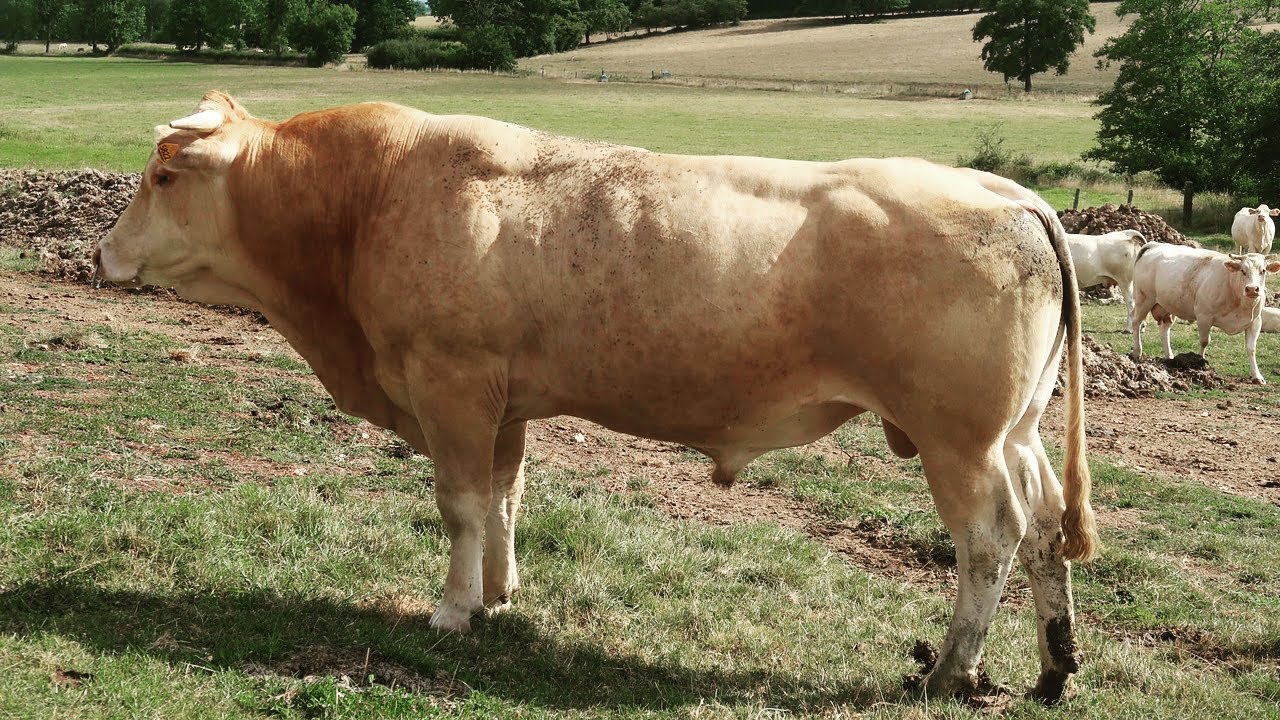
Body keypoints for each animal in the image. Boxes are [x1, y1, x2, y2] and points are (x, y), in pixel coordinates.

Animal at [95, 92, 1098, 704]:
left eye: (163, 177)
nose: (99, 253)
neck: (368, 198)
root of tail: (1005, 189)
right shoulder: (503, 400)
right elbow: (504, 496)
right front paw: (499, 595)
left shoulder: (451, 382)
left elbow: (461, 504)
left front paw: (452, 610)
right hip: (1016, 433)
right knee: (1048, 528)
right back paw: (1053, 668)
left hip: (960, 441)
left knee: (991, 539)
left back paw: (952, 670)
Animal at [1131, 242, 1280, 383]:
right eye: (1243, 270)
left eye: (1263, 271)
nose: (1252, 289)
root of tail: (1155, 245)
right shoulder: (1204, 316)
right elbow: (1204, 341)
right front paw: (1200, 365)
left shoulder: (1255, 322)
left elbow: (1251, 348)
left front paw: (1257, 376)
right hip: (1144, 299)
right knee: (1136, 322)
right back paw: (1137, 352)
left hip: (1167, 305)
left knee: (1164, 329)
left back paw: (1170, 357)